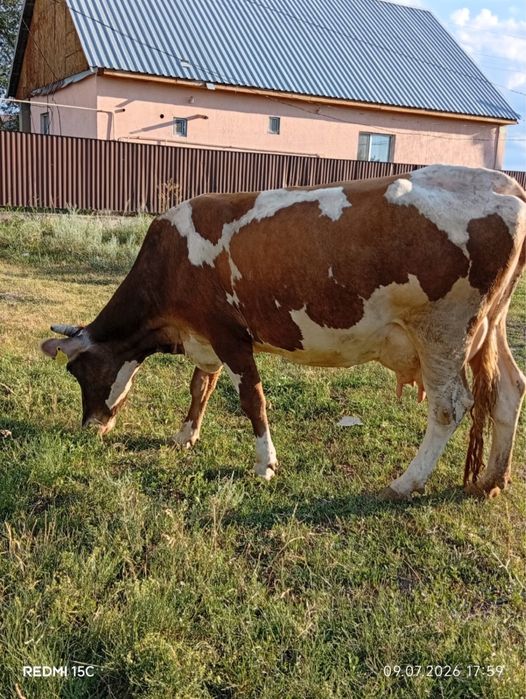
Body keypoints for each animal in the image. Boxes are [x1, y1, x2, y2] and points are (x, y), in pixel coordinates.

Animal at [41, 165, 526, 500]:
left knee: (449, 406)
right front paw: (185, 436)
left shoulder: (229, 335)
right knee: (509, 388)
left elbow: (251, 400)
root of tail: (504, 183)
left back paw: (405, 482)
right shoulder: (206, 336)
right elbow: (201, 386)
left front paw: (265, 465)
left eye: (79, 372)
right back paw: (492, 479)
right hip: (490, 326)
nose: (89, 428)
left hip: (443, 331)